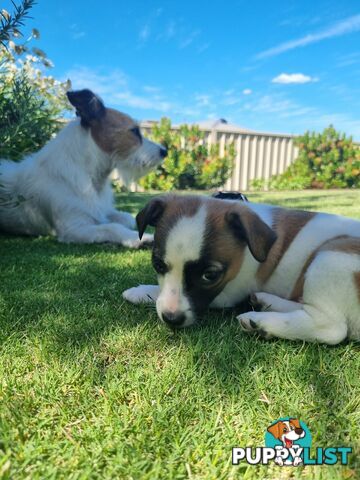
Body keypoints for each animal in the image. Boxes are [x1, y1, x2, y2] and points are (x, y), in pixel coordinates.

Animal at [0, 88, 166, 249]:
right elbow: (112, 227)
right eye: (134, 131)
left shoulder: (103, 211)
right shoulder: (74, 229)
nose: (164, 151)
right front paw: (138, 238)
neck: (93, 179)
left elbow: (127, 218)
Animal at [123, 193, 360, 344]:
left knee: (331, 328)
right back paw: (265, 302)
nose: (171, 319)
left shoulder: (228, 292)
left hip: (332, 255)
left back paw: (263, 322)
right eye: (158, 265)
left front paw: (141, 291)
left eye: (210, 275)